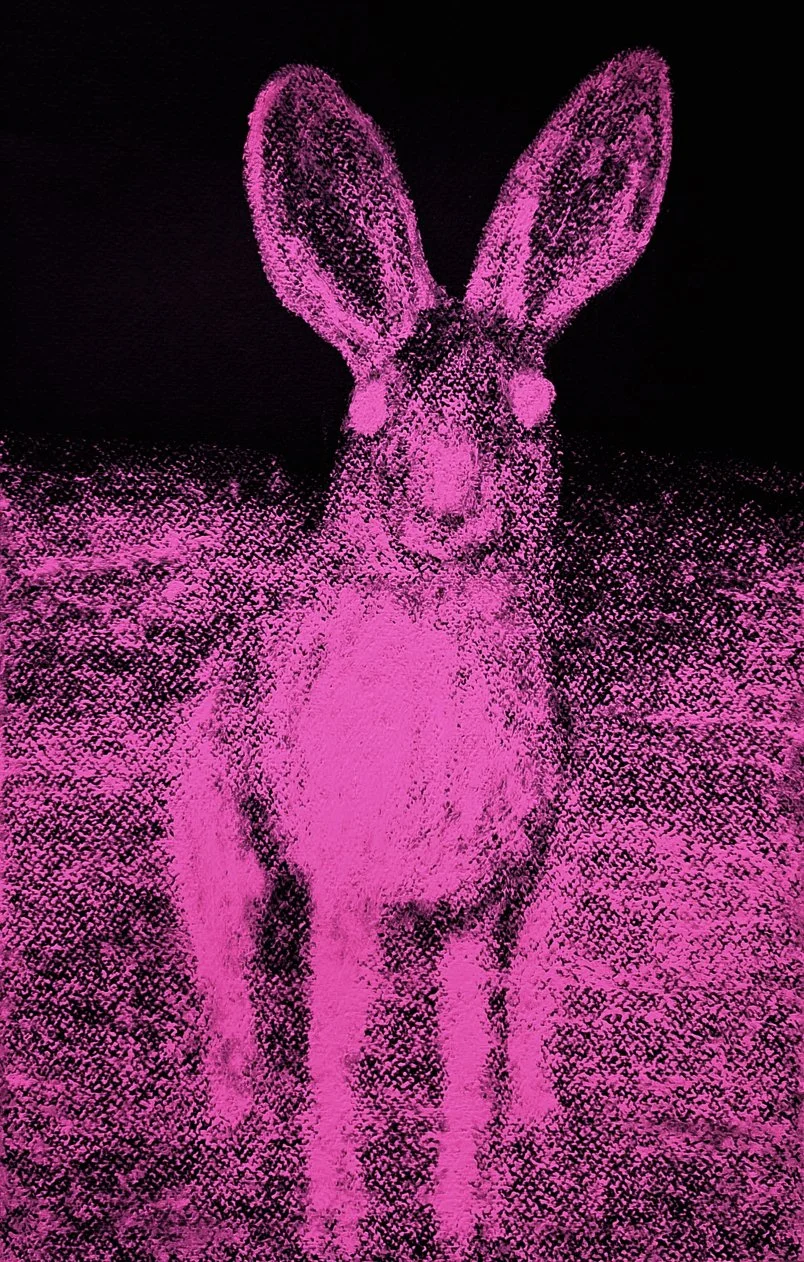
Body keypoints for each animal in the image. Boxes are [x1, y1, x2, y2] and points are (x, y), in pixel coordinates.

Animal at [241, 49, 672, 1259]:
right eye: (369, 407)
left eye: (535, 403)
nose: (447, 510)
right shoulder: (341, 883)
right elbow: (338, 1057)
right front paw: (333, 1221)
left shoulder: (482, 897)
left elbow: (464, 1057)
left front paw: (457, 1219)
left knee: (525, 998)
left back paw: (539, 1120)